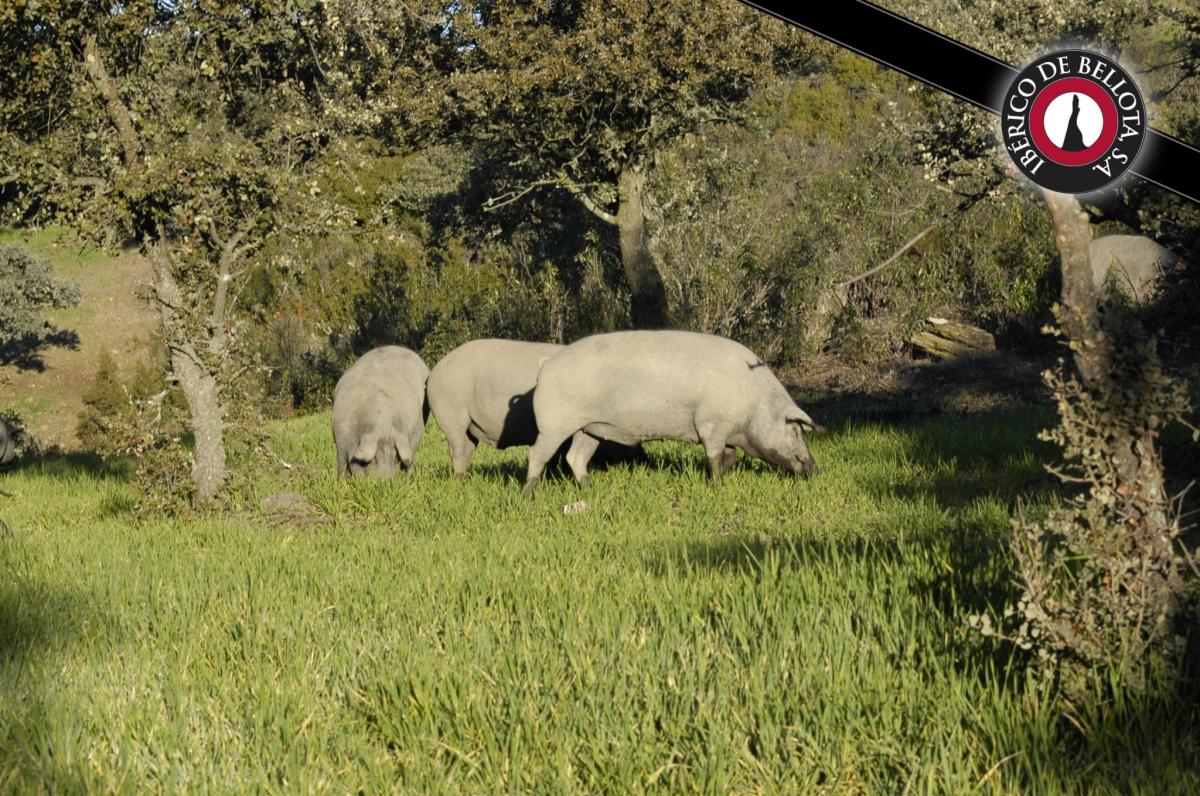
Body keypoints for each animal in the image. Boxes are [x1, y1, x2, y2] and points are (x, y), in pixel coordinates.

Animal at [333, 345, 432, 475]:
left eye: (395, 458)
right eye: (374, 459)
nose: (385, 479)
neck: (383, 423)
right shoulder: (340, 440)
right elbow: (341, 466)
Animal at [520, 331, 820, 499]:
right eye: (795, 430)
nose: (815, 468)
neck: (754, 403)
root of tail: (547, 365)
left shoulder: (727, 432)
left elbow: (730, 457)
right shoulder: (711, 425)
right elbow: (715, 458)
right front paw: (716, 486)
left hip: (589, 429)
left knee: (575, 457)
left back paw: (590, 490)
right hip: (553, 426)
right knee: (537, 455)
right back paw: (527, 496)